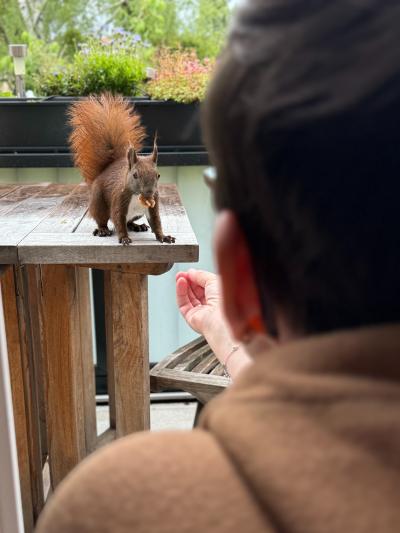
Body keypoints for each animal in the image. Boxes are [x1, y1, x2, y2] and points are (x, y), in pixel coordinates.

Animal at [69, 94, 175, 245]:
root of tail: (105, 170)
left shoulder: (153, 205)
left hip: (137, 214)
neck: (137, 196)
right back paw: (102, 230)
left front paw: (164, 237)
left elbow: (156, 222)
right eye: (135, 175)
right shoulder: (119, 200)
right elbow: (118, 220)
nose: (149, 192)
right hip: (98, 202)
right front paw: (124, 238)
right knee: (102, 219)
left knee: (129, 222)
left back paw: (137, 226)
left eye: (158, 175)